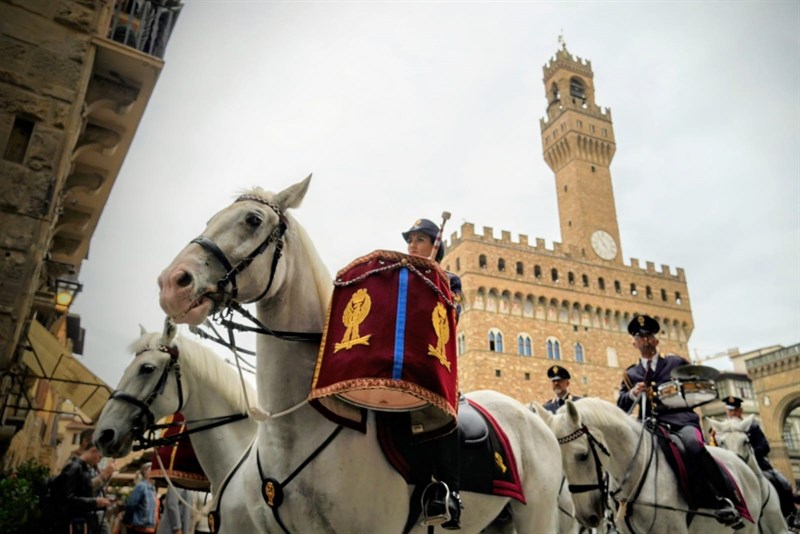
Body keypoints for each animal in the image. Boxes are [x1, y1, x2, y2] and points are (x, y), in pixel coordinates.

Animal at [155, 178, 556, 532]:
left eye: (253, 219)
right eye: (211, 218)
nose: (172, 283)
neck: (297, 430)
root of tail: (534, 418)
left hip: (538, 516)